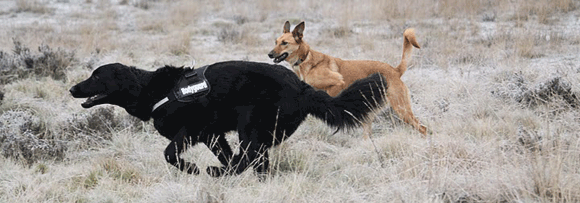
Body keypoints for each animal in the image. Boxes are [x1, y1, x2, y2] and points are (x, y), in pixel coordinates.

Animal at [70, 60, 388, 176]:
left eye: (95, 76)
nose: (72, 88)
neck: (152, 90)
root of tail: (301, 87)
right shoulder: (212, 135)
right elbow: (224, 153)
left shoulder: (190, 131)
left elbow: (170, 154)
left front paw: (192, 169)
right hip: (260, 132)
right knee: (254, 160)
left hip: (251, 125)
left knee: (247, 157)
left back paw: (216, 172)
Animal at [268, 21, 426, 137]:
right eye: (275, 41)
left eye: (284, 43)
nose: (269, 54)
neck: (306, 59)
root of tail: (395, 70)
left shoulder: (337, 82)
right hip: (369, 112)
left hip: (401, 109)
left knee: (423, 128)